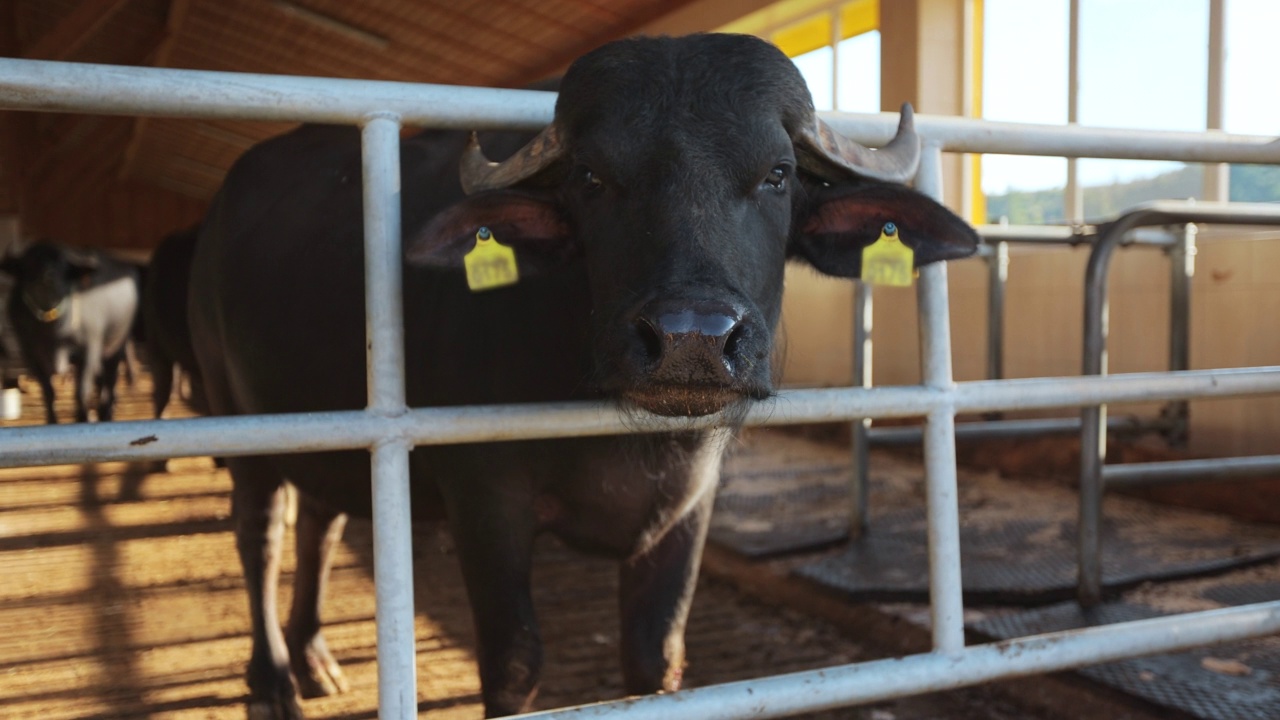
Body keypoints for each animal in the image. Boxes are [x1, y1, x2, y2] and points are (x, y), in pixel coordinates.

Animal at [1, 240, 142, 420]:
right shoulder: (30, 354)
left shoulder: (89, 350)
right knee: (101, 382)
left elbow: (81, 391)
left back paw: (106, 412)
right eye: (30, 262)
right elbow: (48, 392)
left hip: (116, 346)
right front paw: (52, 420)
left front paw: (83, 418)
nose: (47, 276)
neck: (52, 332)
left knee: (109, 384)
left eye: (61, 264)